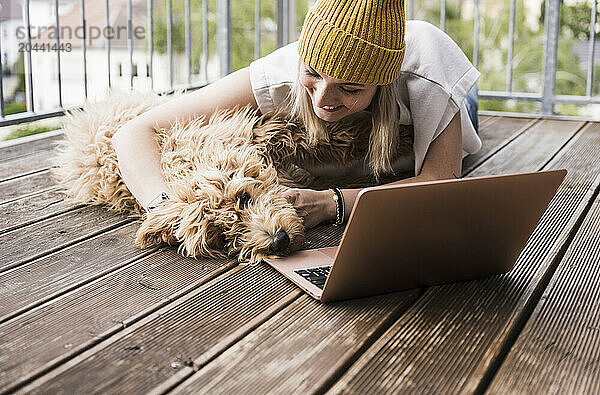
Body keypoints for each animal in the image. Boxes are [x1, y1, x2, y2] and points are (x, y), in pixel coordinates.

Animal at [54, 92, 412, 262]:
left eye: (245, 197)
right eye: (222, 235)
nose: (278, 241)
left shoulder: (257, 133)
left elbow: (321, 134)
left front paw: (399, 137)